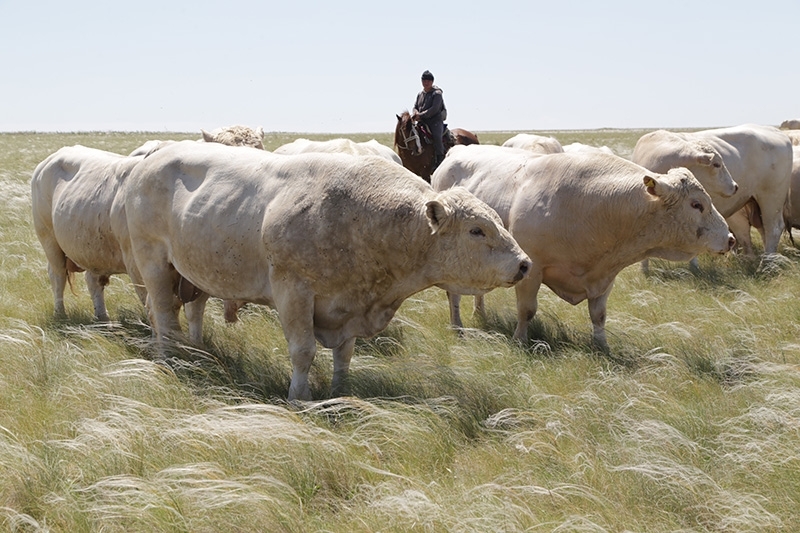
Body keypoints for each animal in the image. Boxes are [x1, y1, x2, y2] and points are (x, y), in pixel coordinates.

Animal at [122, 141, 532, 400]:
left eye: (498, 221)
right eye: (477, 230)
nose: (524, 263)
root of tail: (151, 158)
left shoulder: (347, 306)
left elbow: (344, 356)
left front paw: (340, 392)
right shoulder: (293, 291)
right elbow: (303, 351)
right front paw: (299, 397)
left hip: (192, 272)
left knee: (181, 312)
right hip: (153, 262)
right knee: (164, 315)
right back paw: (171, 360)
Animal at [434, 143, 736, 348]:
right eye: (696, 204)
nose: (730, 239)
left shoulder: (605, 276)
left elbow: (599, 315)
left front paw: (602, 346)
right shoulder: (531, 269)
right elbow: (526, 310)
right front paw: (520, 340)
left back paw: (480, 312)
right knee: (454, 296)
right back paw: (457, 326)